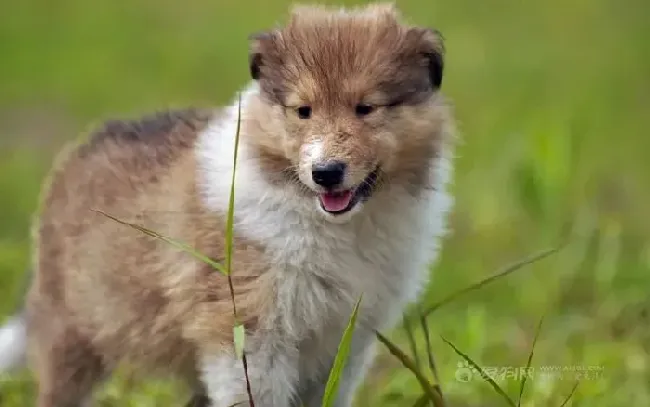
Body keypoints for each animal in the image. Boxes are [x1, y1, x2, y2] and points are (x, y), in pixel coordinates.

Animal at [0, 3, 456, 407]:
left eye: (366, 108)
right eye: (303, 111)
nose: (326, 173)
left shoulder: (344, 339)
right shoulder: (247, 329)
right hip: (71, 334)